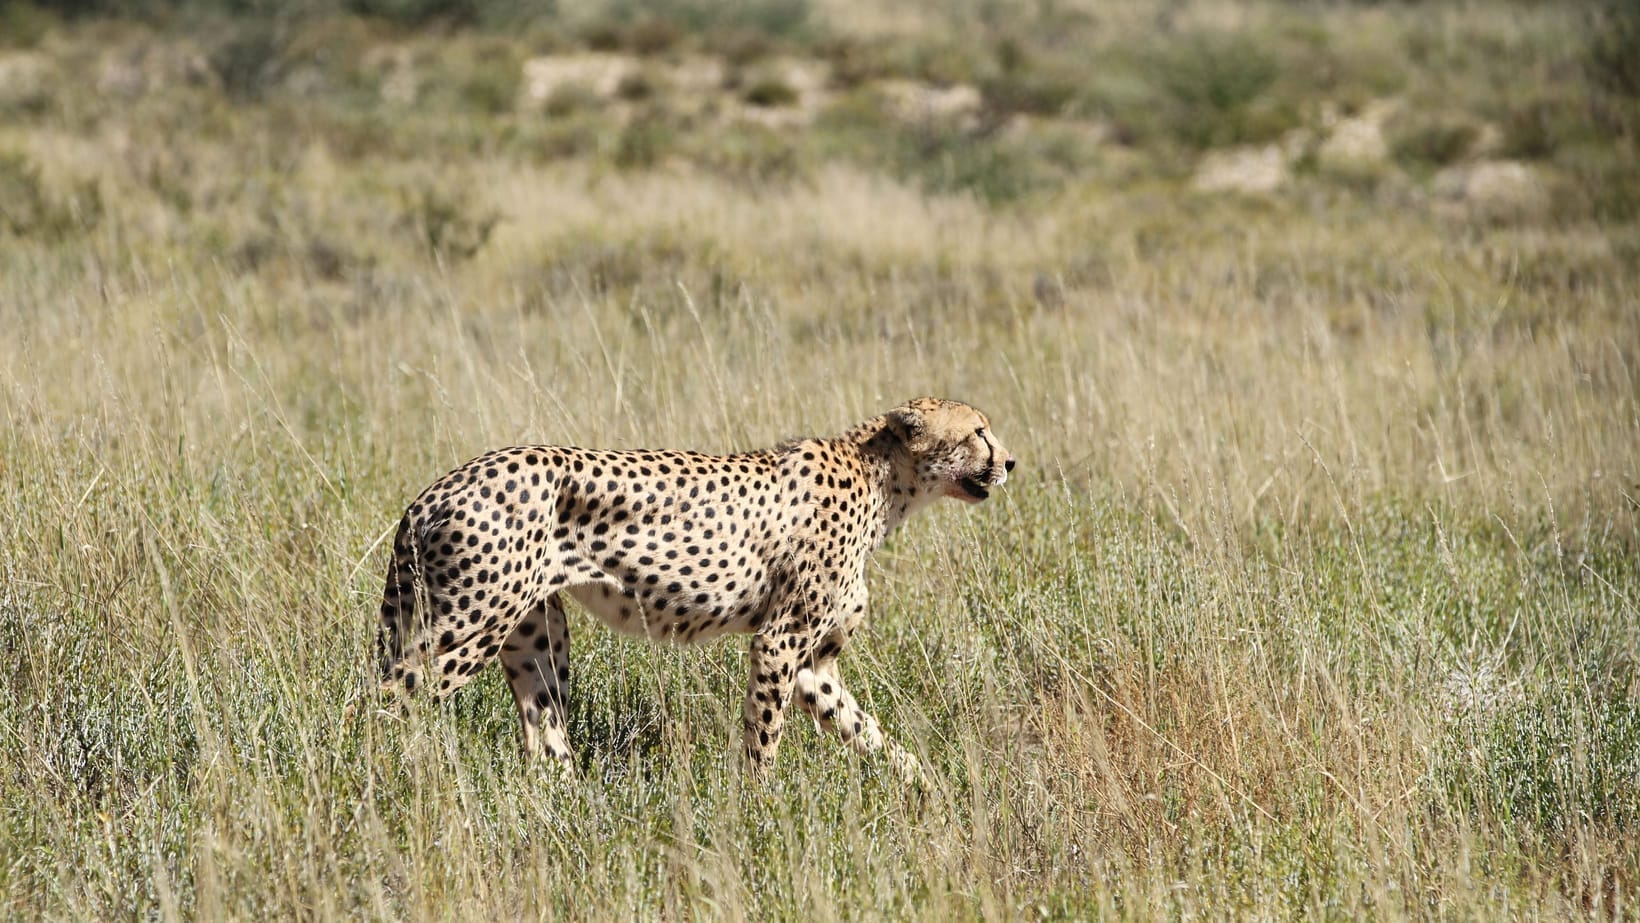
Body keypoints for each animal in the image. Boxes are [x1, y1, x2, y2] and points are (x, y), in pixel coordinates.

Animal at [374, 397, 1014, 779]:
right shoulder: (779, 641)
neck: (884, 482)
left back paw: (572, 803)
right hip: (471, 623)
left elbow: (864, 727)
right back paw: (387, 784)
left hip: (535, 633)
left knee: (542, 726)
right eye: (979, 432)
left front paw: (925, 784)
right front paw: (762, 808)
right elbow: (765, 733)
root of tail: (439, 485)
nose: (1010, 462)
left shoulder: (814, 663)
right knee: (388, 698)